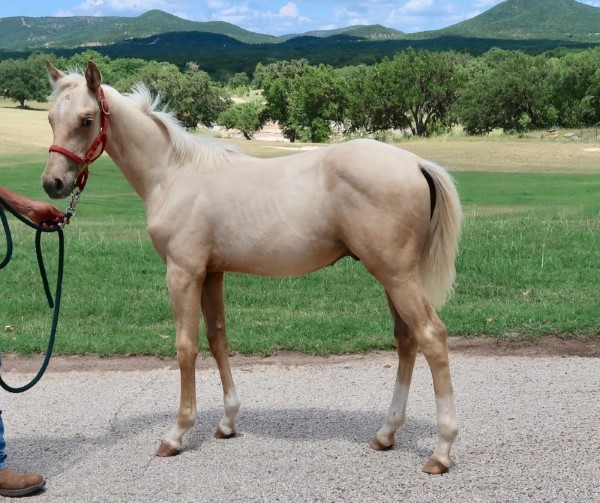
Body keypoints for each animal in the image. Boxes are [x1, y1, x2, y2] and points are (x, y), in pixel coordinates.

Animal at [42, 61, 462, 474]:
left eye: (86, 119)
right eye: (50, 118)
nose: (53, 183)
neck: (173, 174)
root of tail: (417, 163)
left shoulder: (183, 273)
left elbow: (186, 347)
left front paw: (176, 434)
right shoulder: (211, 274)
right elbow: (218, 340)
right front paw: (227, 422)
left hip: (396, 275)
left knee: (431, 337)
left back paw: (441, 451)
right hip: (393, 277)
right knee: (407, 340)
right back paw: (386, 434)